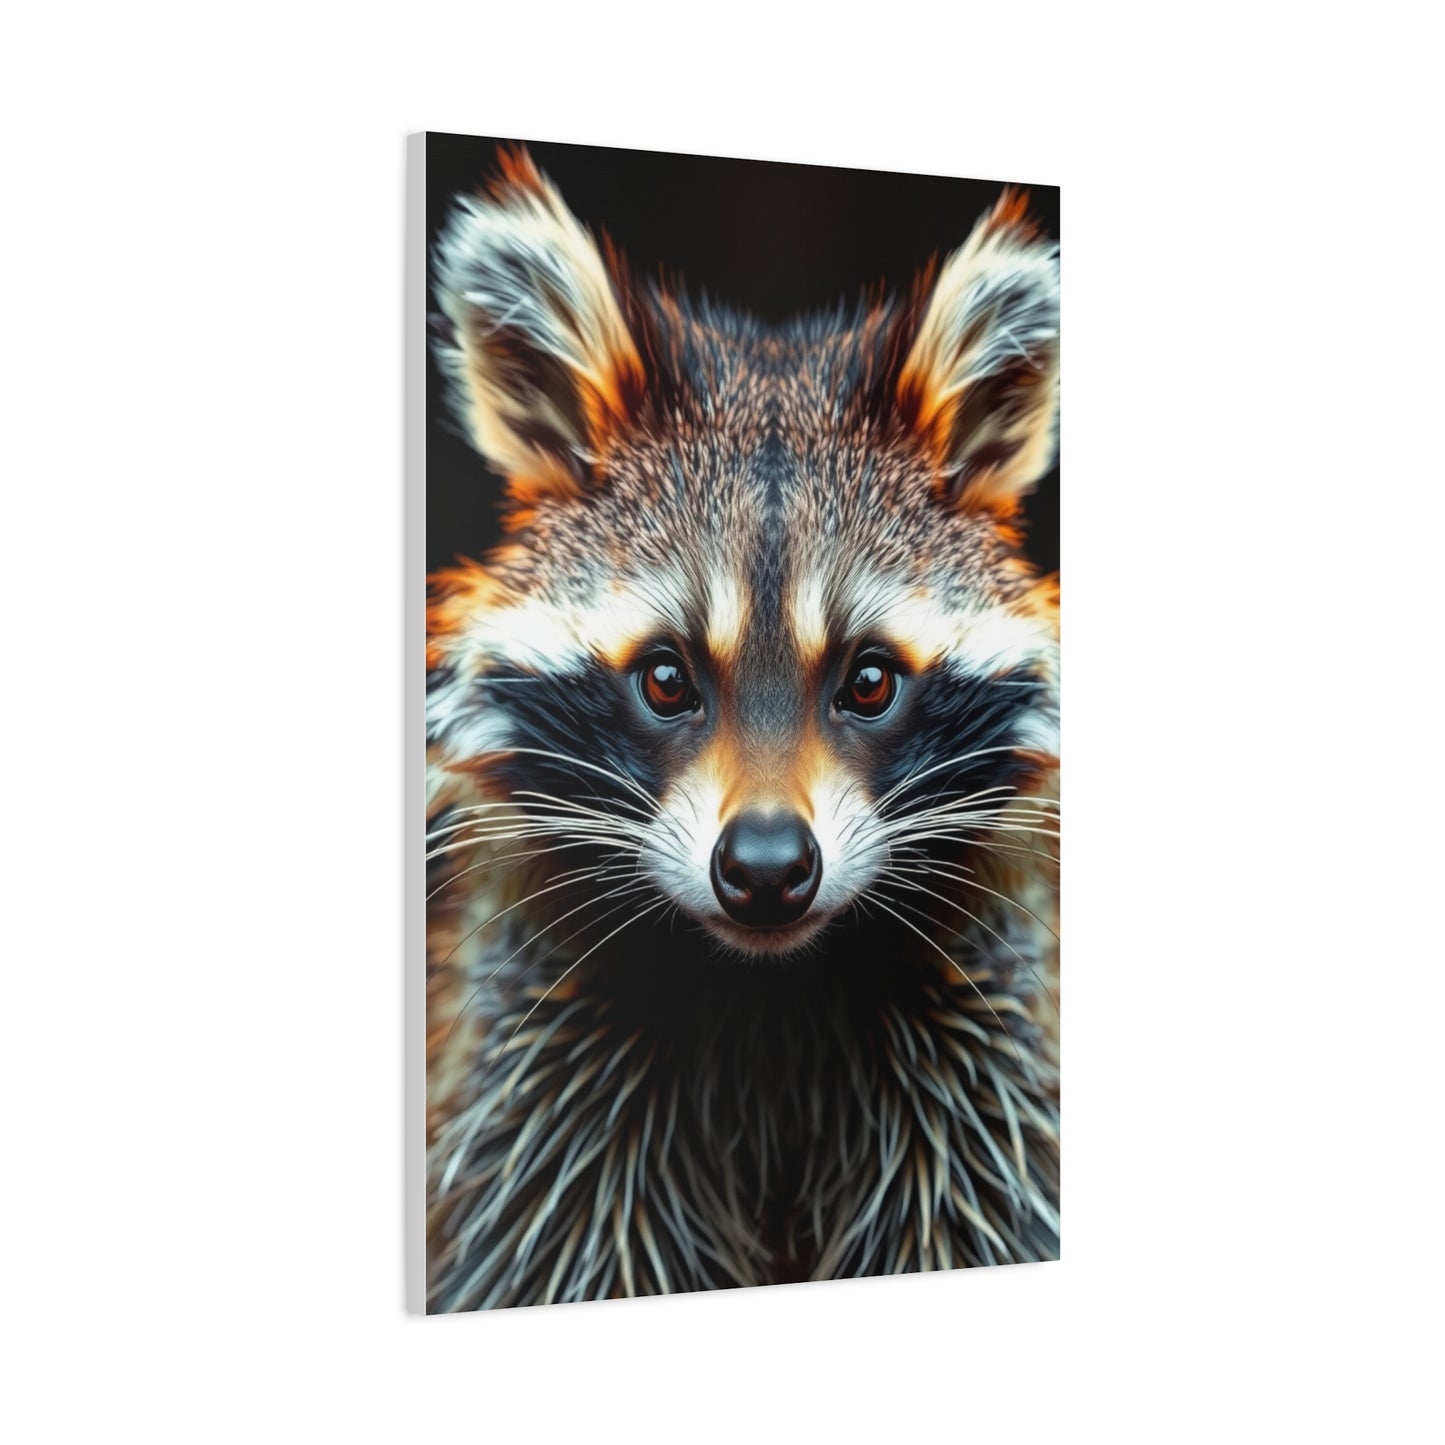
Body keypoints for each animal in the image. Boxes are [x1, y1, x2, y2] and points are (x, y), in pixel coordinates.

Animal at [425, 148, 1060, 1310]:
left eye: (868, 680)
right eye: (666, 678)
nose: (765, 867)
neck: (767, 998)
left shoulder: (981, 1062)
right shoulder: (538, 1074)